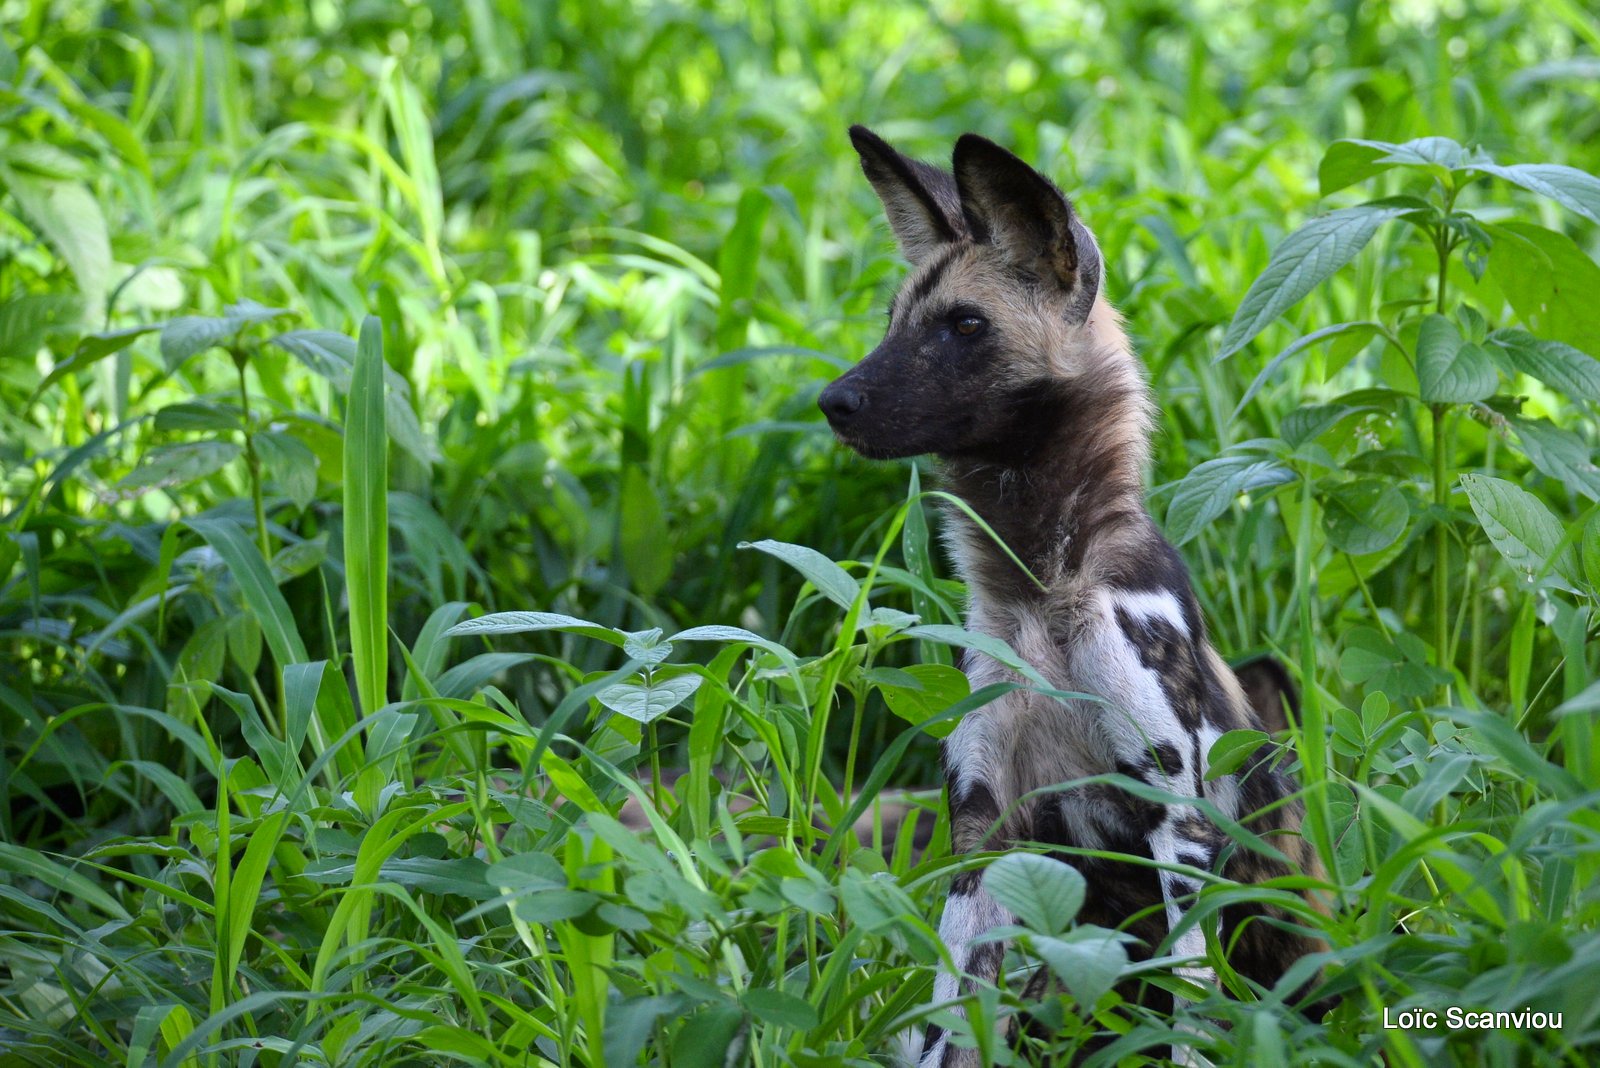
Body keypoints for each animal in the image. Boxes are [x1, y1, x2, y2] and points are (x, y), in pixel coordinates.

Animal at [825, 129, 1324, 1061]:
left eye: (966, 325)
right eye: (893, 324)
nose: (833, 401)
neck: (1042, 592)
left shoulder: (1177, 829)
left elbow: (1191, 1017)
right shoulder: (982, 831)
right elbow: (951, 1024)